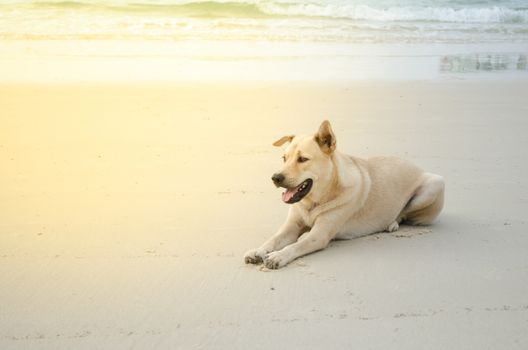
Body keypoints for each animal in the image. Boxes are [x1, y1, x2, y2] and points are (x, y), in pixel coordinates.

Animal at [245, 119, 444, 270]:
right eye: (284, 158)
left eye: (303, 159)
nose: (275, 178)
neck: (315, 201)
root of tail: (415, 165)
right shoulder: (291, 227)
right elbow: (273, 239)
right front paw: (258, 251)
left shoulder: (319, 235)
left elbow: (296, 245)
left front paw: (278, 256)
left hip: (435, 184)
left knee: (403, 214)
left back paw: (392, 223)